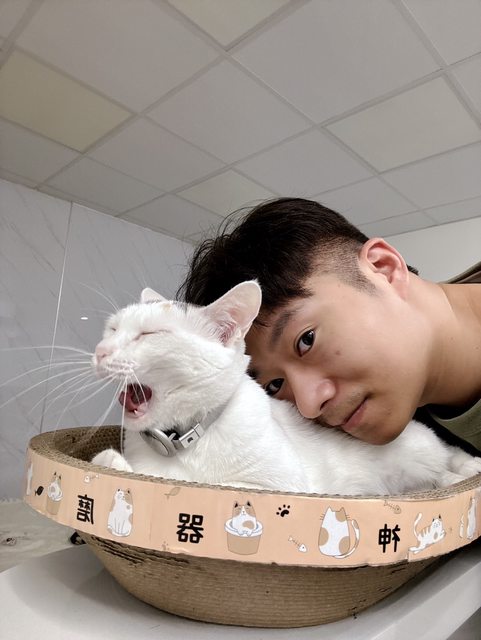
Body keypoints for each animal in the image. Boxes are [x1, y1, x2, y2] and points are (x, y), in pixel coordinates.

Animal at [91, 281, 481, 495]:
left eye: (149, 334)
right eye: (112, 329)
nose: (99, 352)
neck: (186, 441)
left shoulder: (284, 486)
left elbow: (224, 485)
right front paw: (112, 462)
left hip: (417, 448)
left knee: (445, 461)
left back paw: (467, 468)